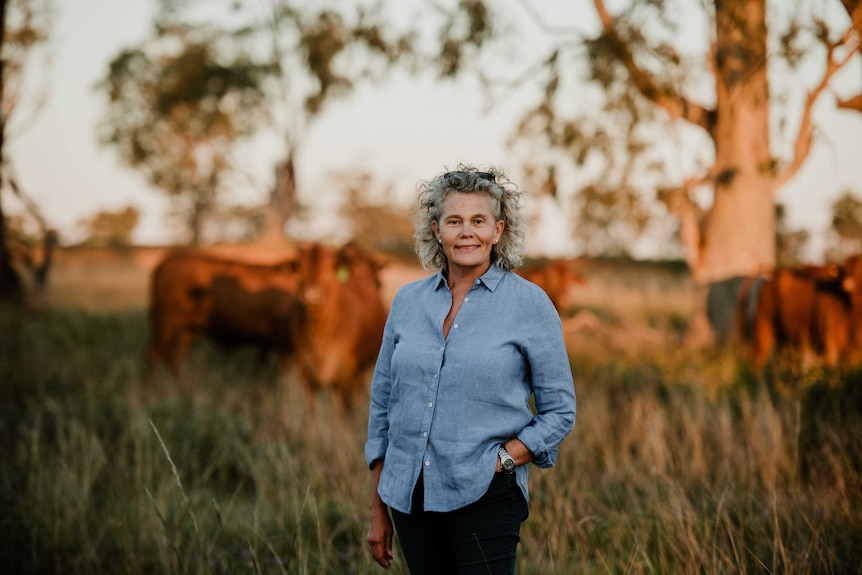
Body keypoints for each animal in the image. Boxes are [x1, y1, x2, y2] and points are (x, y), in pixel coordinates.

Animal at [150, 252, 306, 374]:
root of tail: (166, 263)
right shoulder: (281, 343)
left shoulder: (269, 343)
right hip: (167, 324)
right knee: (155, 356)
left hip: (186, 330)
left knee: (176, 358)